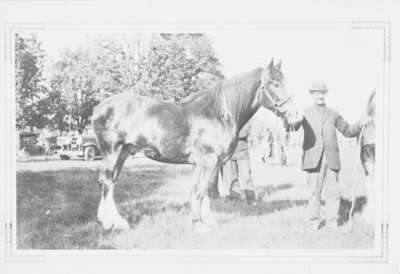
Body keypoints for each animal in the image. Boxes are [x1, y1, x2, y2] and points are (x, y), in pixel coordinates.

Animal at [92, 58, 302, 232]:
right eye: (275, 83)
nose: (296, 116)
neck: (219, 114)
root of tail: (98, 108)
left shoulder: (207, 164)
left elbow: (204, 189)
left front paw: (208, 220)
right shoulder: (208, 161)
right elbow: (199, 191)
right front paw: (198, 224)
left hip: (123, 153)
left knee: (110, 183)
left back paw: (116, 221)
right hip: (112, 151)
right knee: (106, 182)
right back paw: (110, 223)